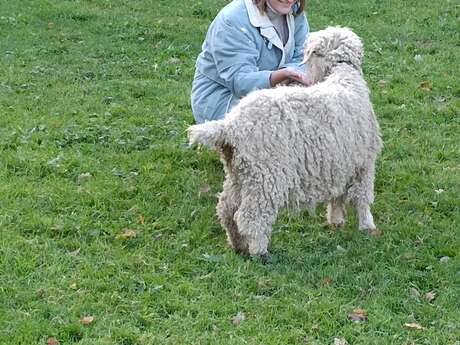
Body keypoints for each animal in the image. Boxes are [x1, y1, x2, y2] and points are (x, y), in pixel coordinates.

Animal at [188, 26, 384, 255]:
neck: (343, 74)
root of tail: (231, 125)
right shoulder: (364, 162)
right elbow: (362, 197)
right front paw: (367, 226)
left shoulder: (340, 162)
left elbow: (338, 196)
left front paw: (336, 221)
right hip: (266, 174)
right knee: (251, 217)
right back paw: (259, 252)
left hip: (240, 173)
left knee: (227, 209)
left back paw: (238, 245)